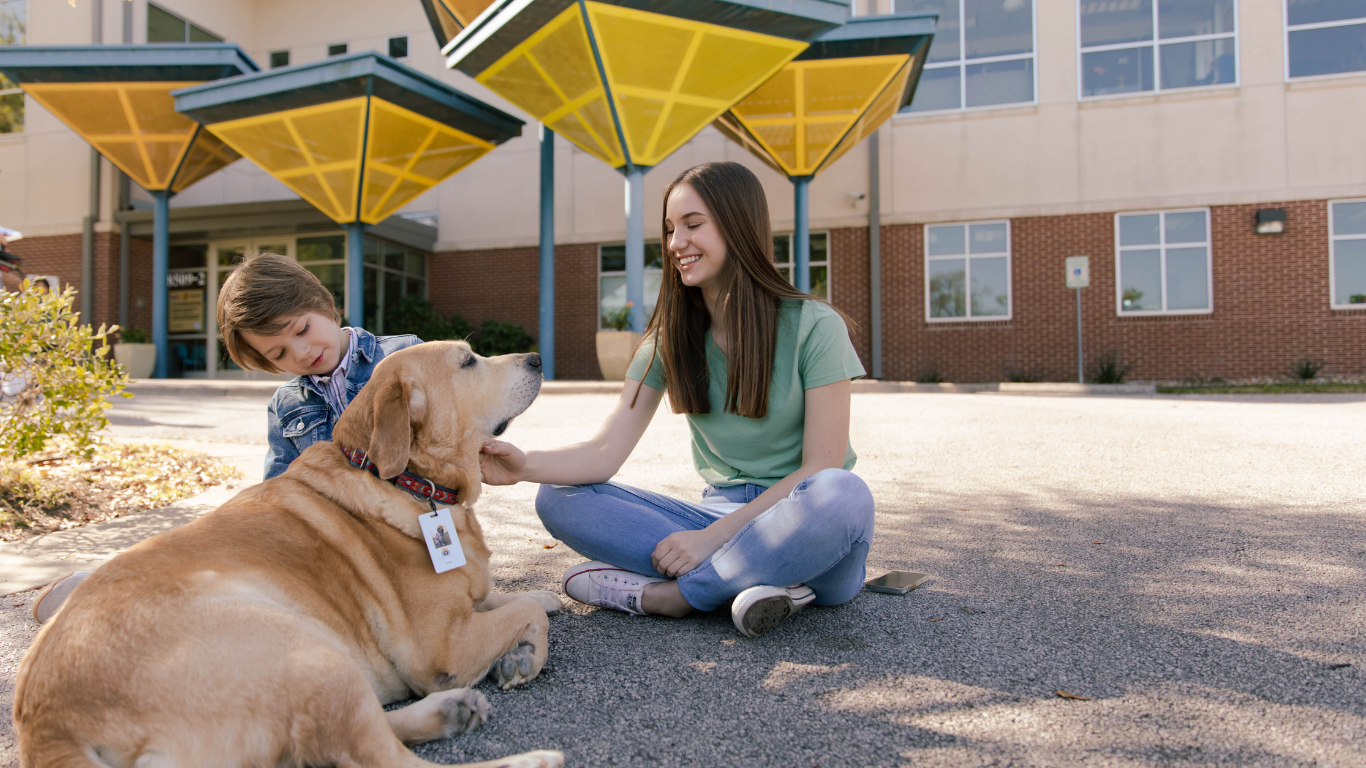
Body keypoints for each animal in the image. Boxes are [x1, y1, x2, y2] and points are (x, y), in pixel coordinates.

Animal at [13, 341, 565, 765]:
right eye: (468, 361)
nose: (538, 357)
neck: (407, 482)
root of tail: (48, 724)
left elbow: (523, 598)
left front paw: (529, 625)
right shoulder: (441, 648)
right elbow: (527, 610)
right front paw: (525, 655)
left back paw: (450, 712)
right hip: (308, 653)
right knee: (374, 755)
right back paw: (531, 757)